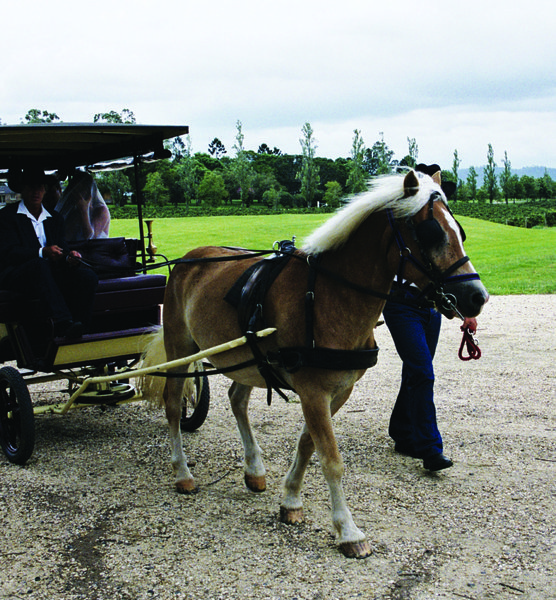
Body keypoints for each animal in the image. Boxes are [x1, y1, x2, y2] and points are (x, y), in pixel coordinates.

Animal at [141, 168, 488, 556]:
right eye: (432, 233)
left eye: (460, 231)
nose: (477, 296)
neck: (327, 295)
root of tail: (188, 259)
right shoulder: (313, 391)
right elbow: (331, 459)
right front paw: (348, 530)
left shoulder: (337, 391)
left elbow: (308, 445)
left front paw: (291, 500)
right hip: (180, 348)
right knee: (173, 404)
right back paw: (182, 472)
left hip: (247, 358)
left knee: (237, 401)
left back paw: (254, 469)